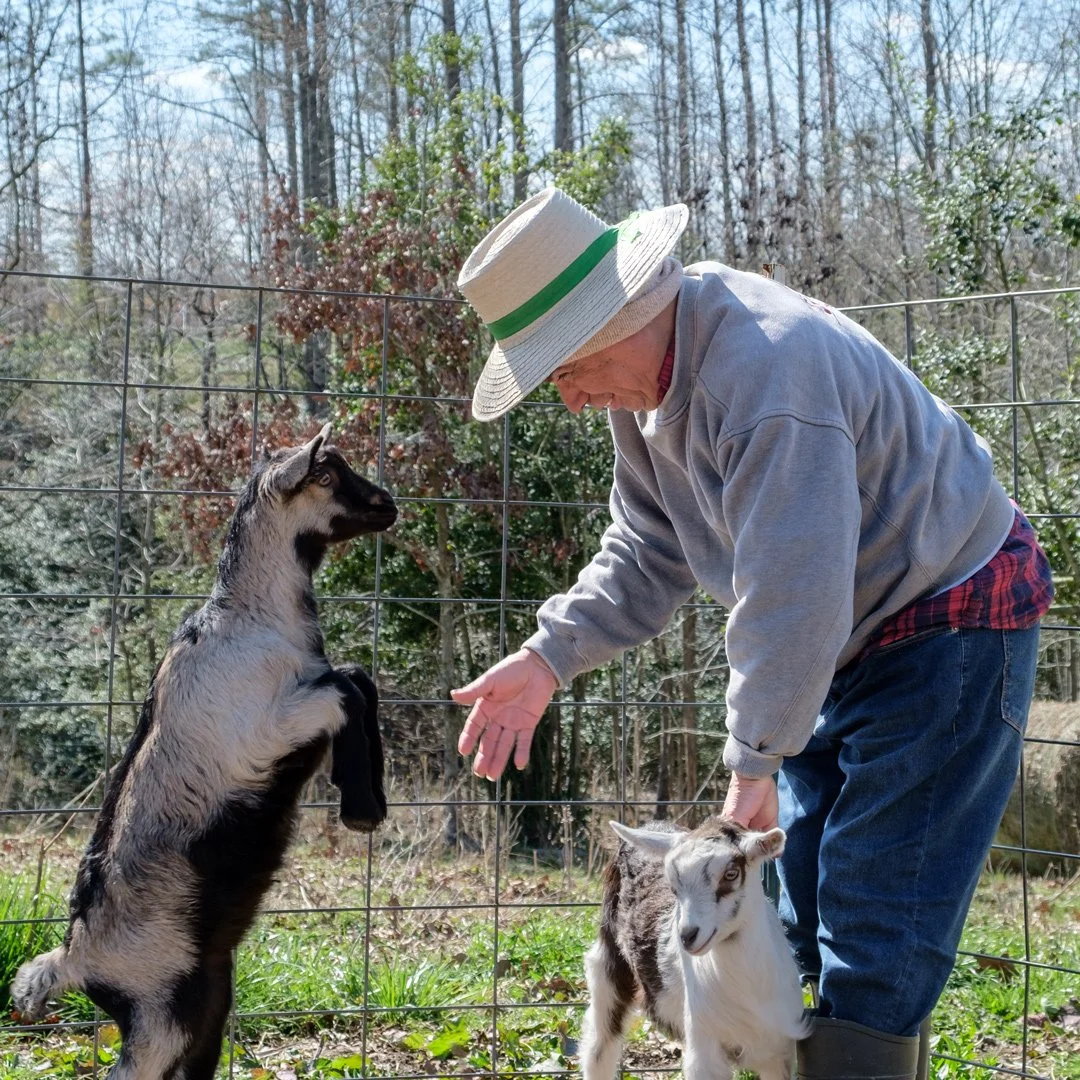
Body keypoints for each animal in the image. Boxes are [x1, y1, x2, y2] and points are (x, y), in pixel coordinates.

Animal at [12, 424, 396, 1080]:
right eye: (326, 473)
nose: (388, 505)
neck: (251, 619)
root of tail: (71, 959)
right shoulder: (271, 727)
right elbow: (346, 686)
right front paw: (361, 809)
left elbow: (356, 678)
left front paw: (370, 797)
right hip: (161, 1014)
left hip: (204, 996)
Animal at [580, 817, 807, 1080]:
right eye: (673, 885)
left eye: (731, 873)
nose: (687, 936)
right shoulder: (704, 1048)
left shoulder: (777, 1050)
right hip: (607, 967)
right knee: (599, 1047)